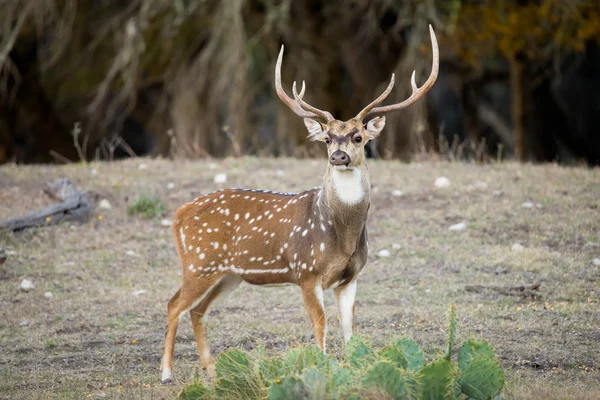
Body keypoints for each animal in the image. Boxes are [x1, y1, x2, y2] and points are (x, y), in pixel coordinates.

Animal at [162, 25, 438, 384]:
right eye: (327, 139)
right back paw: (167, 374)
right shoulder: (307, 271)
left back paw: (212, 371)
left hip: (229, 274)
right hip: (199, 262)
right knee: (173, 304)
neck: (342, 236)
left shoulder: (351, 276)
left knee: (196, 309)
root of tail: (179, 214)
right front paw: (321, 369)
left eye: (358, 137)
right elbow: (320, 325)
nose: (339, 156)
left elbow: (350, 329)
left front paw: (355, 371)